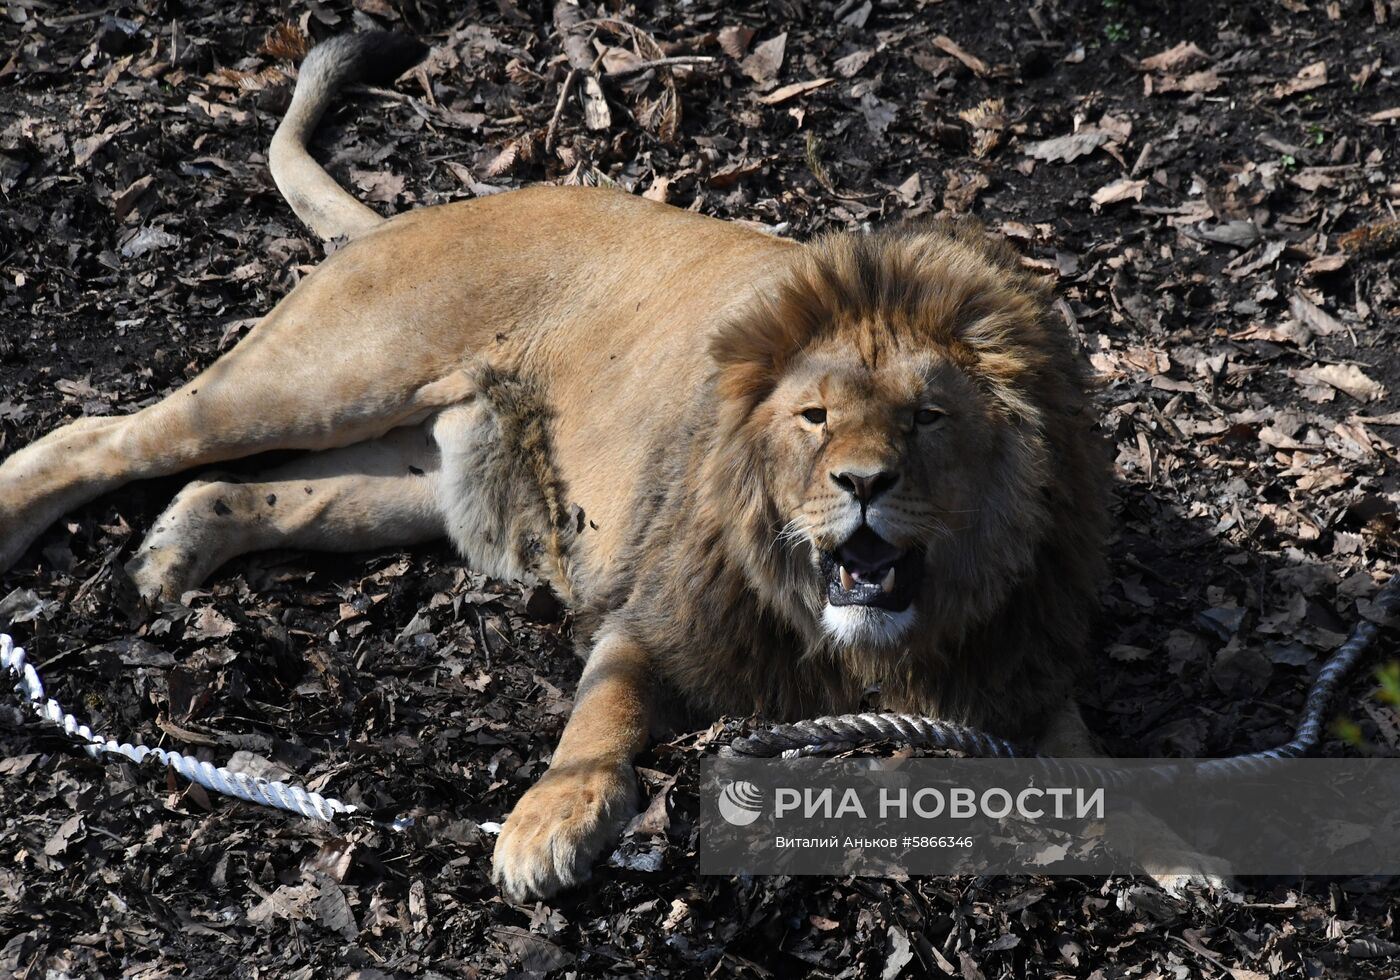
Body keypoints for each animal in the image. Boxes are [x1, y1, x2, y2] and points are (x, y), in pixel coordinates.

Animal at [0, 34, 1114, 901]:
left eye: (928, 419)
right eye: (814, 418)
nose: (863, 486)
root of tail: (416, 213)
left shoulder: (1013, 666)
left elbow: (1095, 765)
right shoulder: (653, 613)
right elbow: (600, 716)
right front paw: (550, 827)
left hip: (413, 484)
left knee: (242, 490)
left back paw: (170, 557)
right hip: (327, 377)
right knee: (103, 435)